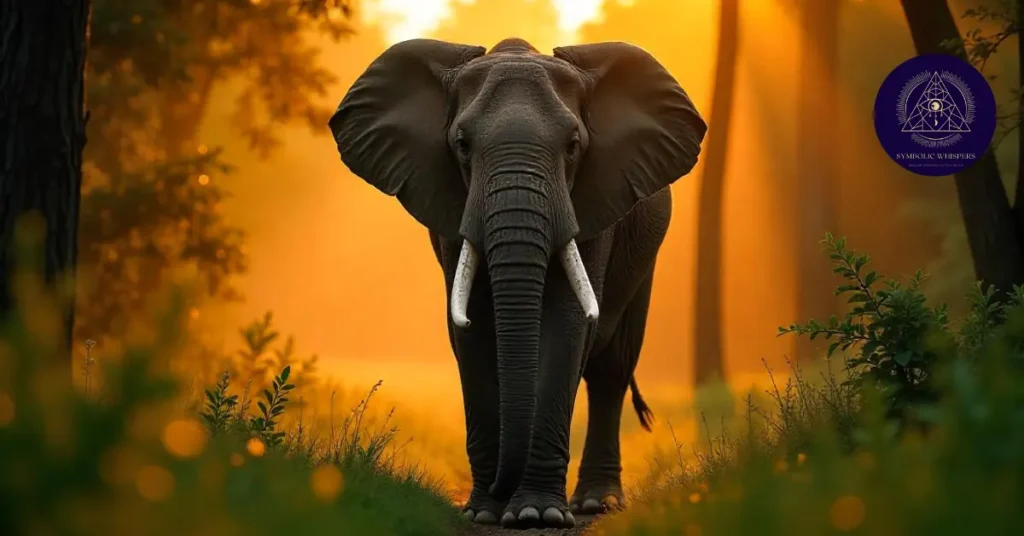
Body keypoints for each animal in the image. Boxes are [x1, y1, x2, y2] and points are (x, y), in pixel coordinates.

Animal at [329, 37, 706, 529]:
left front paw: (535, 514)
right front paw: (486, 513)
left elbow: (567, 325)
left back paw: (596, 504)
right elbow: (470, 332)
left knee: (611, 369)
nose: (500, 491)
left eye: (573, 145)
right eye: (462, 145)